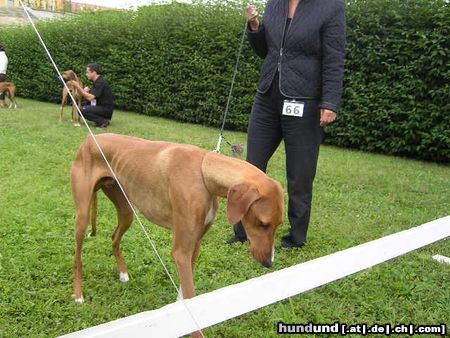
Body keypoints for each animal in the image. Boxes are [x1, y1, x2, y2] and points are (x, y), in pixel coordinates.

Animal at [71, 134, 284, 308]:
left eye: (278, 224)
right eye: (263, 223)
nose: (269, 263)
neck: (203, 171)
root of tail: (89, 139)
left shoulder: (195, 246)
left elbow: (184, 294)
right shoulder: (181, 252)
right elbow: (190, 293)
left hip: (126, 212)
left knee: (114, 238)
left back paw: (123, 273)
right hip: (82, 217)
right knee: (78, 258)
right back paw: (78, 294)